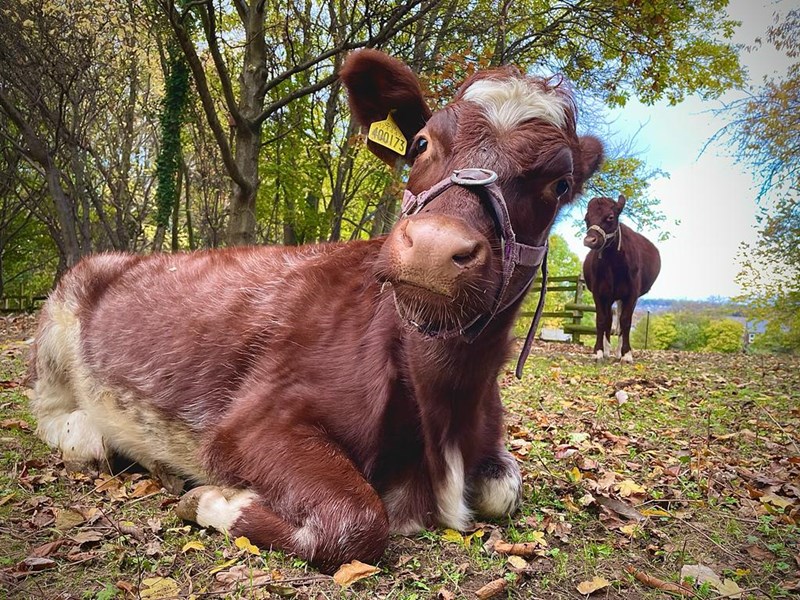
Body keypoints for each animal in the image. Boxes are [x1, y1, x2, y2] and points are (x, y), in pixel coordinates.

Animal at [28, 50, 603, 573]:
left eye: (560, 185)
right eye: (421, 143)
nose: (435, 246)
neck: (444, 408)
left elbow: (505, 490)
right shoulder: (252, 421)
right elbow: (355, 520)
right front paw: (217, 499)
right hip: (57, 328)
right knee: (57, 420)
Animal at [582, 195, 661, 362]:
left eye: (610, 217)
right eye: (586, 218)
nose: (589, 240)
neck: (613, 264)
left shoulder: (632, 293)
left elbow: (625, 321)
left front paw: (627, 353)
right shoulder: (599, 292)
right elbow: (602, 320)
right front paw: (599, 351)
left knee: (620, 321)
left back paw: (618, 352)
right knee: (610, 320)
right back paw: (607, 351)